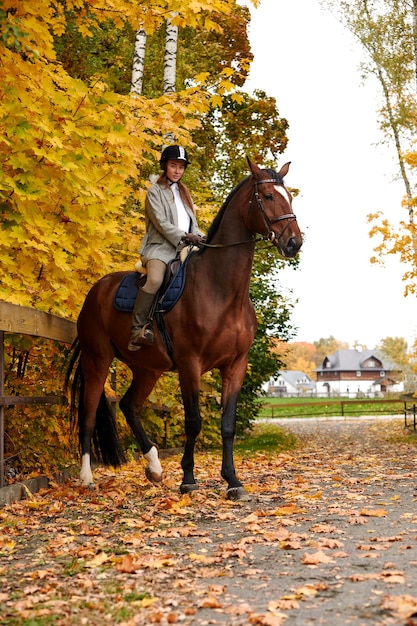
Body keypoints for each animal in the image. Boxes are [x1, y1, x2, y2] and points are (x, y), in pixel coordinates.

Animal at [67, 160, 302, 498]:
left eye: (290, 197)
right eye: (268, 196)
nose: (294, 242)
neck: (220, 289)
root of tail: (96, 290)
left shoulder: (235, 365)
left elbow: (227, 423)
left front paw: (233, 481)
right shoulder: (191, 364)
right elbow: (193, 421)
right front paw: (189, 478)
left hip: (147, 368)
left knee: (129, 406)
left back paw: (154, 467)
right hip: (97, 360)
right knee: (87, 415)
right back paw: (87, 478)